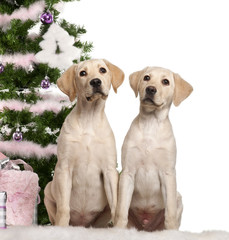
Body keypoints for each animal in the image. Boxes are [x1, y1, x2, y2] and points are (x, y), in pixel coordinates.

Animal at [43, 58, 124, 227]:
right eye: (82, 73)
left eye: (102, 70)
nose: (96, 81)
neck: (89, 118)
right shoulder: (64, 168)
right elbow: (63, 208)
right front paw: (61, 227)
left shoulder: (109, 170)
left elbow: (115, 204)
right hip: (48, 189)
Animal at [115, 66, 192, 232]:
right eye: (146, 78)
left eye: (165, 82)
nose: (150, 89)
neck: (151, 123)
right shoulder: (128, 173)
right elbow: (121, 210)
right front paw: (118, 231)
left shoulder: (168, 173)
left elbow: (170, 213)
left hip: (178, 198)